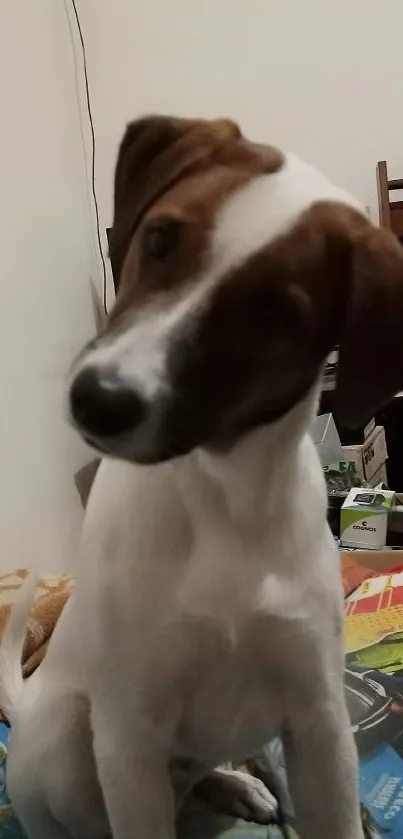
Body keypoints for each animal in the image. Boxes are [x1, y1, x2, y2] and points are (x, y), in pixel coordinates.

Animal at [2, 116, 403, 839]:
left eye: (272, 315)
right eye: (159, 239)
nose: (95, 401)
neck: (223, 494)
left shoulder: (319, 723)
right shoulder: (129, 736)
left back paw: (241, 783)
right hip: (71, 749)